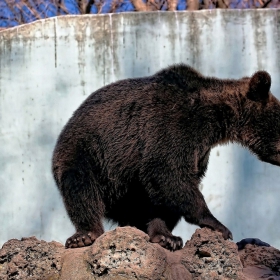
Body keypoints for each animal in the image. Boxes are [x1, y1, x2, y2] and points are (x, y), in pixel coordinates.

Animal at [52, 64, 280, 250]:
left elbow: (167, 190)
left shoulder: (199, 151)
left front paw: (165, 235)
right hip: (88, 153)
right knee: (81, 186)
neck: (217, 120)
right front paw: (219, 225)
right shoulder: (172, 125)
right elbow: (167, 172)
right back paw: (85, 234)